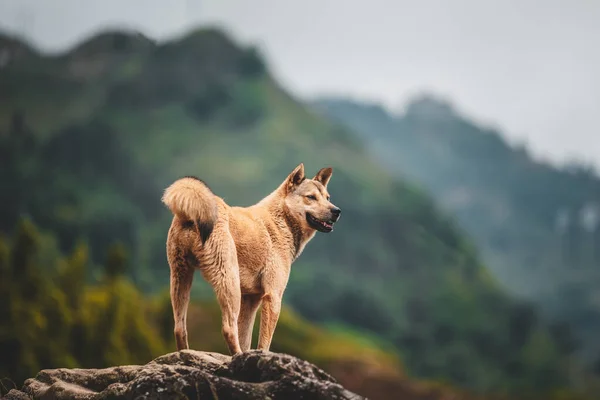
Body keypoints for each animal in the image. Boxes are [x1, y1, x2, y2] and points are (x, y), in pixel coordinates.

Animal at [162, 162, 340, 354]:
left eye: (327, 197)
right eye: (311, 197)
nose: (337, 211)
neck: (281, 221)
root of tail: (192, 215)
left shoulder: (251, 300)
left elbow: (245, 338)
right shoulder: (273, 296)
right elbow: (264, 343)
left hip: (181, 277)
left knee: (179, 328)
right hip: (229, 282)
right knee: (228, 328)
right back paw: (236, 355)